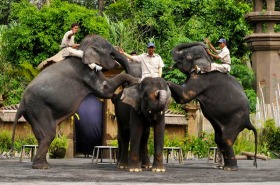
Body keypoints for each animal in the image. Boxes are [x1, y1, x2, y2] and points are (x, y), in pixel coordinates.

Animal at [12, 34, 139, 169]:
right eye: (109, 48)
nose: (120, 51)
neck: (82, 50)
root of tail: (21, 104)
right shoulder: (88, 73)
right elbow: (105, 90)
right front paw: (134, 80)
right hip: (39, 110)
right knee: (48, 135)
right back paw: (42, 166)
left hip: (33, 113)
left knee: (42, 136)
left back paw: (43, 164)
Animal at [167, 42, 258, 171]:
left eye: (186, 56)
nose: (205, 44)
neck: (207, 60)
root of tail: (248, 121)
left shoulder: (200, 79)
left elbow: (184, 96)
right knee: (219, 140)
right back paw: (225, 166)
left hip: (236, 120)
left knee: (226, 139)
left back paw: (230, 168)